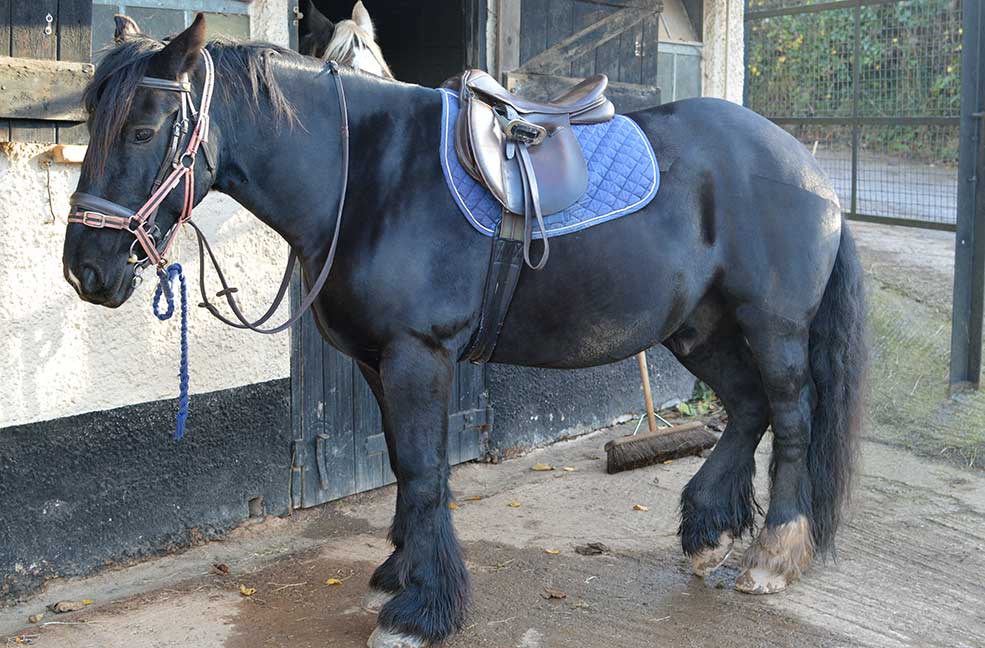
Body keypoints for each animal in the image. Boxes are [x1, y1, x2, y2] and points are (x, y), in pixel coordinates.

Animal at [61, 15, 864, 648]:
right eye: (90, 125)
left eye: (143, 129)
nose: (85, 270)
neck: (368, 176)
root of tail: (806, 166)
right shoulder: (376, 361)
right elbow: (401, 463)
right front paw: (399, 574)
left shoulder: (417, 356)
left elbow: (422, 470)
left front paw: (420, 609)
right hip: (696, 328)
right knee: (747, 408)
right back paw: (708, 532)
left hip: (772, 327)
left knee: (790, 416)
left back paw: (772, 557)